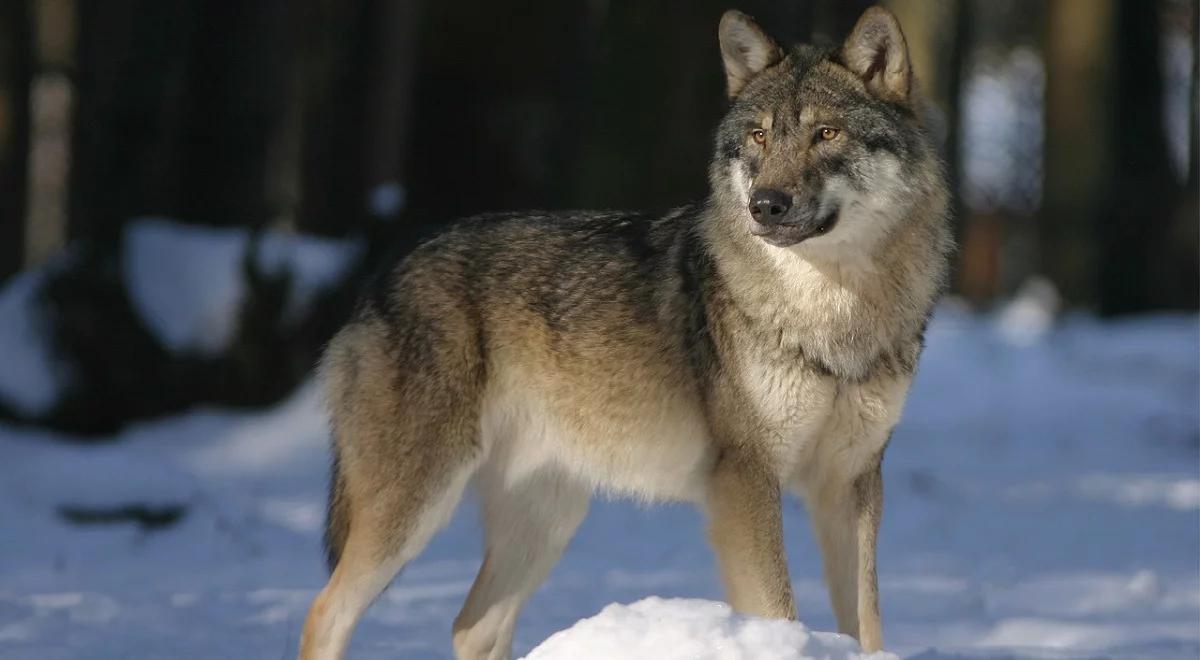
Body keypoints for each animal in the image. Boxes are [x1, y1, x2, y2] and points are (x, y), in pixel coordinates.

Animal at [297, 6, 945, 660]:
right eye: (760, 137)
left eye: (827, 134)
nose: (766, 204)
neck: (832, 314)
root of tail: (383, 274)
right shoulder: (745, 482)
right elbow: (780, 609)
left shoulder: (851, 485)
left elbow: (867, 624)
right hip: (416, 506)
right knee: (325, 612)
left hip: (547, 519)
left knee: (471, 625)